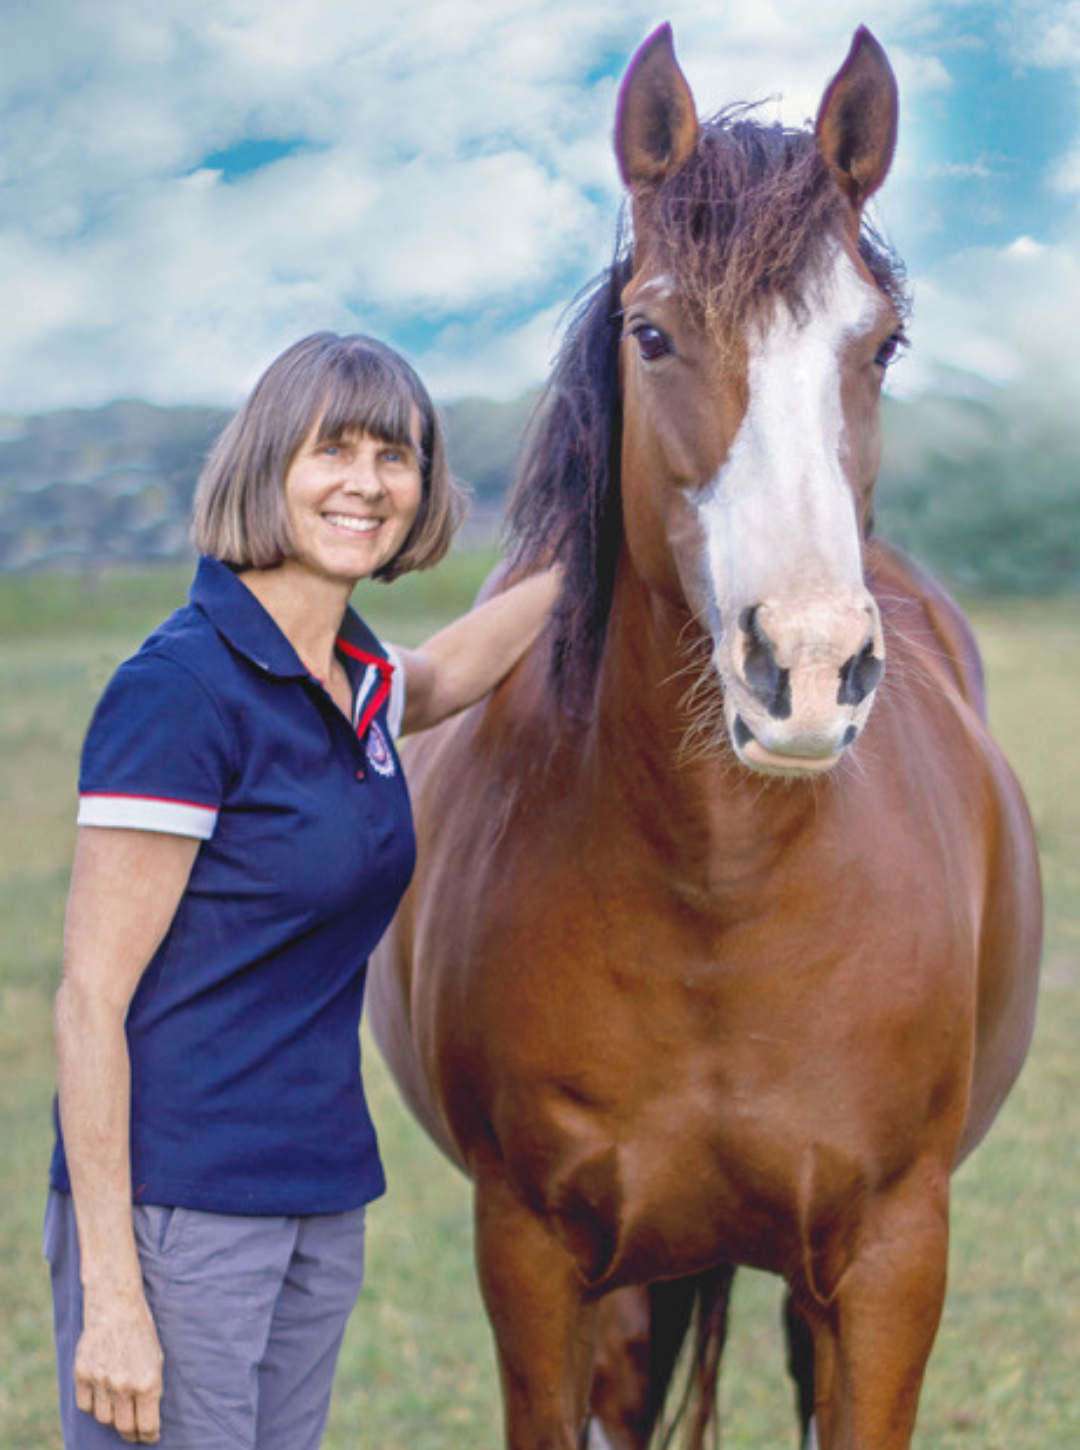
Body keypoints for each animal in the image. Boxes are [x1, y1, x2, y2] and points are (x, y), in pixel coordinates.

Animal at [368, 25, 1042, 1450]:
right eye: (653, 332)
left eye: (883, 345)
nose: (809, 669)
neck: (723, 894)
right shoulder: (534, 1258)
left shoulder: (893, 1259)